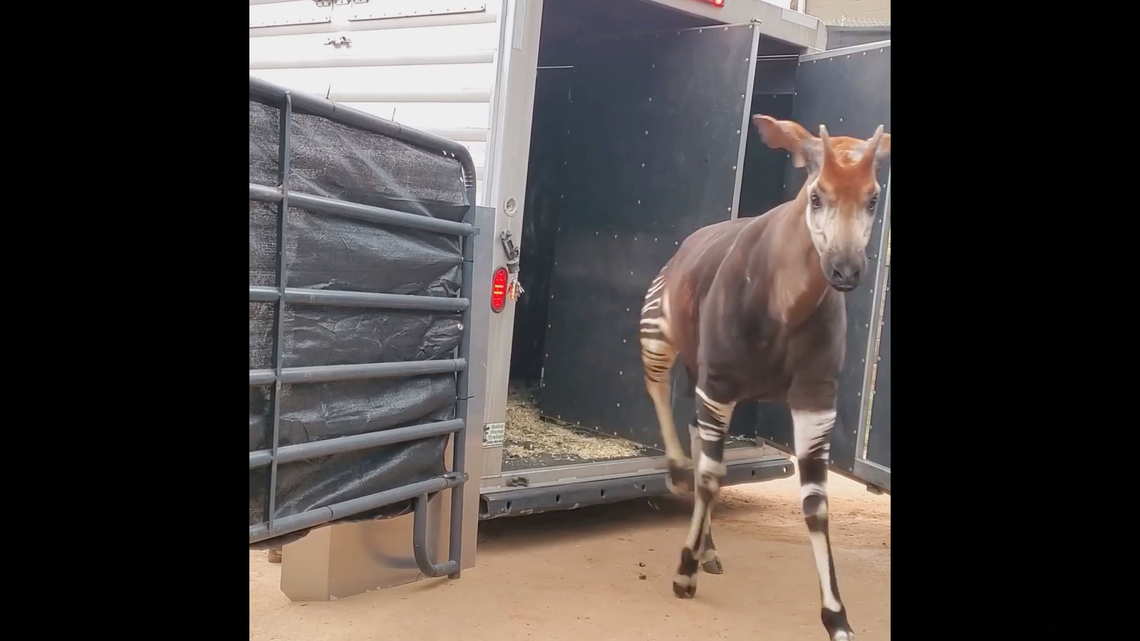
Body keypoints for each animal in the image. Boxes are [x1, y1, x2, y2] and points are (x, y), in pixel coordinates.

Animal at [639, 115, 890, 641]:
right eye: (816, 196)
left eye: (874, 198)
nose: (845, 271)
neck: (784, 306)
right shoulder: (719, 383)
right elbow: (711, 476)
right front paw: (683, 573)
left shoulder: (815, 397)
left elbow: (816, 503)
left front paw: (837, 617)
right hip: (658, 334)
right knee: (661, 395)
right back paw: (676, 476)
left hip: (703, 375)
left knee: (695, 434)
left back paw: (707, 546)